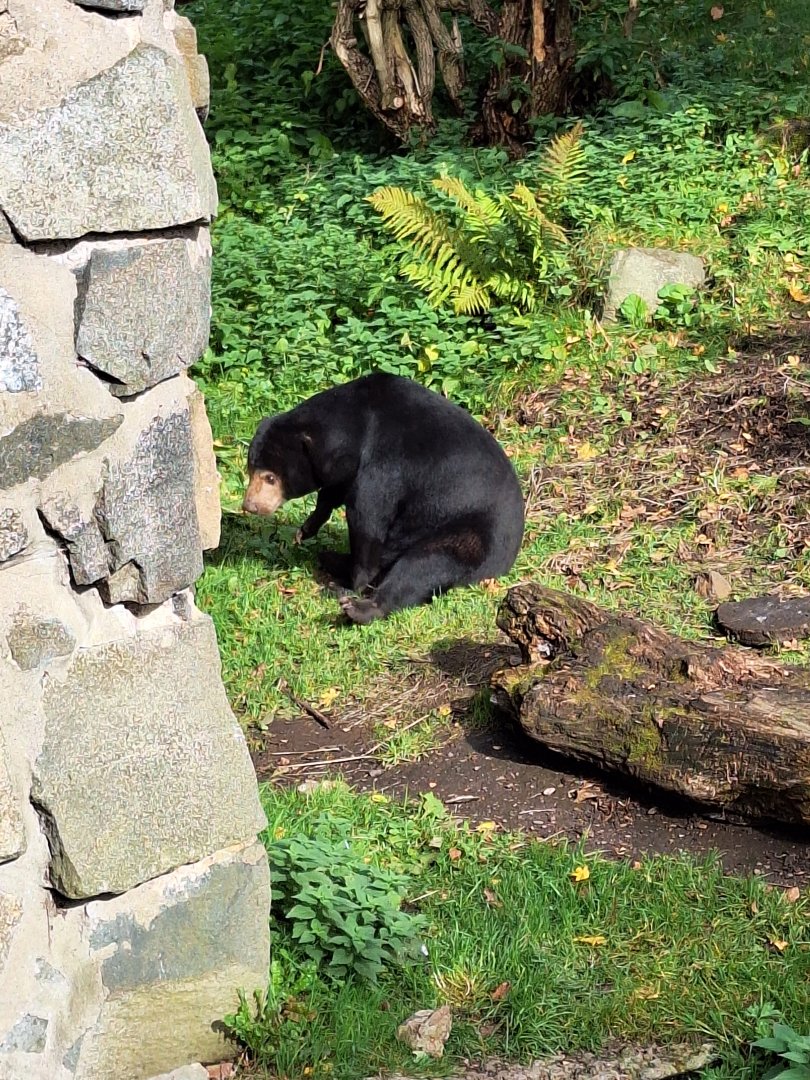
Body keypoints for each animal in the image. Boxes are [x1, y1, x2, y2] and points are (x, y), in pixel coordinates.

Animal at [242, 373, 524, 624]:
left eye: (270, 477)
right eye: (251, 470)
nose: (250, 506)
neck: (358, 425)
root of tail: (505, 563)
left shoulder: (386, 463)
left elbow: (368, 517)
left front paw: (355, 583)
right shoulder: (349, 468)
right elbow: (334, 491)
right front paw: (306, 529)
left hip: (470, 533)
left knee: (425, 565)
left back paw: (357, 605)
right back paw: (333, 558)